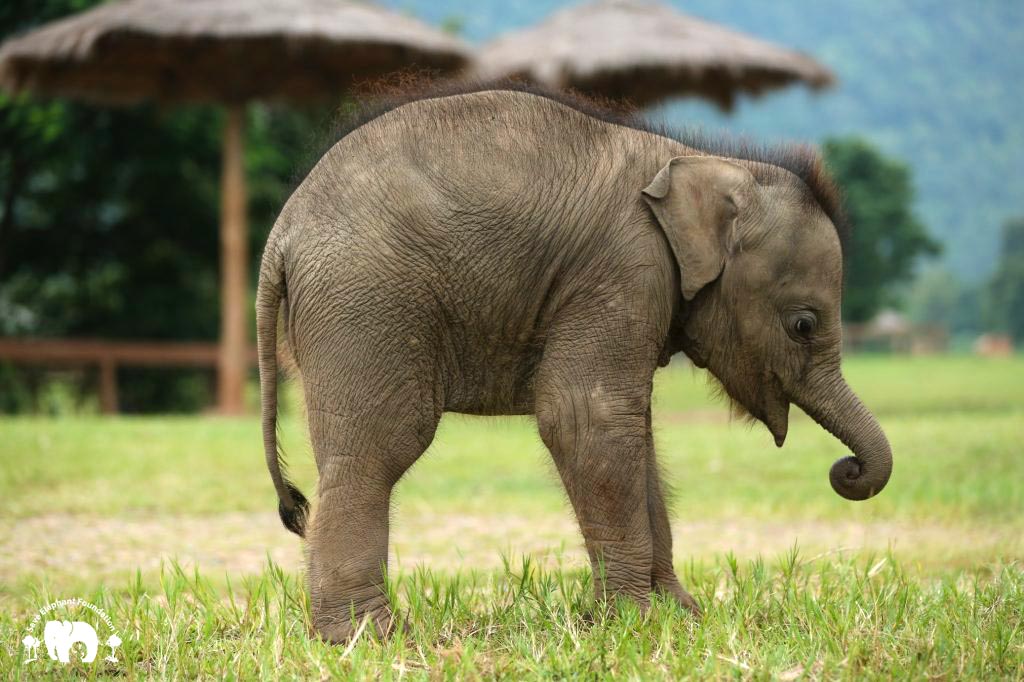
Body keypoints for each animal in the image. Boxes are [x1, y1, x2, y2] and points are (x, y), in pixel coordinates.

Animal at [256, 85, 893, 643]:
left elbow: (634, 433)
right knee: (377, 449)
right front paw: (635, 621)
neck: (701, 163)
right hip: (367, 303)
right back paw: (367, 638)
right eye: (803, 325)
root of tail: (281, 235)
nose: (846, 470)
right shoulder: (624, 269)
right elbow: (586, 420)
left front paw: (680, 617)